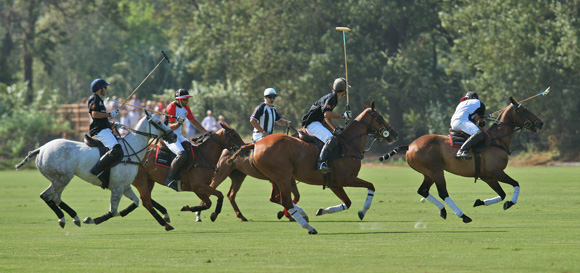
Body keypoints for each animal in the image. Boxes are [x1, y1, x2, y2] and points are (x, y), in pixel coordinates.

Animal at [15, 110, 177, 227]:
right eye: (158, 122)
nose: (173, 135)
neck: (131, 149)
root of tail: (41, 149)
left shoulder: (125, 186)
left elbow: (134, 203)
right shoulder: (117, 187)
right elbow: (113, 211)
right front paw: (92, 219)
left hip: (60, 179)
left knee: (55, 197)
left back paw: (75, 217)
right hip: (61, 178)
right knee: (46, 196)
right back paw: (63, 219)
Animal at [231, 101, 398, 233]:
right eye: (379, 117)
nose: (394, 134)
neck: (349, 144)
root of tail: (256, 144)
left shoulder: (334, 184)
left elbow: (348, 203)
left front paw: (322, 210)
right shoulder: (347, 179)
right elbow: (371, 186)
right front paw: (363, 211)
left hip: (274, 178)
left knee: (277, 198)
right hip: (283, 176)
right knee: (286, 201)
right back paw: (308, 227)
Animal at [380, 96, 544, 222]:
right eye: (524, 110)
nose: (540, 123)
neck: (497, 139)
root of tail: (409, 146)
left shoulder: (488, 177)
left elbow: (503, 193)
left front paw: (479, 202)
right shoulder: (494, 173)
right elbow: (514, 185)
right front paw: (509, 203)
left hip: (428, 173)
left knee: (423, 190)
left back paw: (443, 210)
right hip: (436, 171)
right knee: (443, 193)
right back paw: (463, 216)